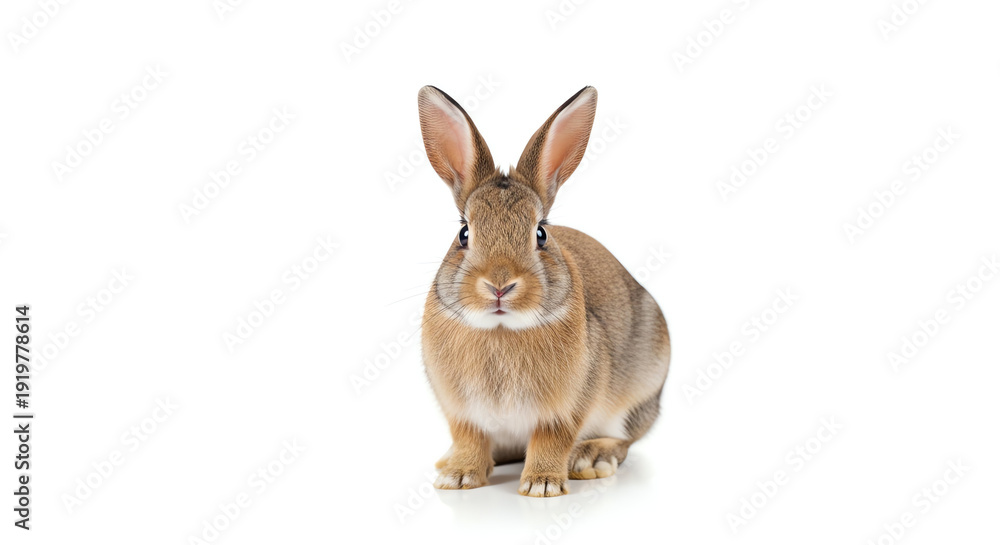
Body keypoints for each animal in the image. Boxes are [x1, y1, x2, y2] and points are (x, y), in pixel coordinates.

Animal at [417, 85, 670, 497]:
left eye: (541, 234)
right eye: (464, 233)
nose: (499, 284)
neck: (501, 330)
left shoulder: (565, 408)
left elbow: (551, 440)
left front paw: (542, 485)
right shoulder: (463, 413)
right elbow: (470, 439)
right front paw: (458, 477)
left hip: (639, 391)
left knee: (625, 439)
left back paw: (591, 458)